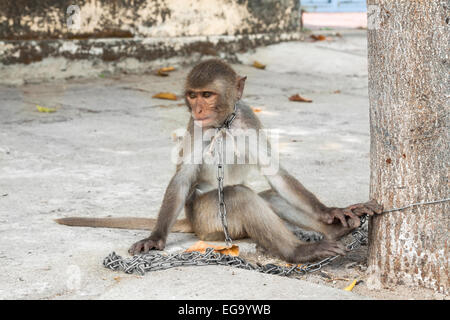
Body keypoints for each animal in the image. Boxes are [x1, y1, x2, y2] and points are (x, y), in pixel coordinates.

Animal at [54, 59, 382, 262]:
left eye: (207, 95)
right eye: (192, 95)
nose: (198, 109)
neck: (224, 124)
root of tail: (192, 222)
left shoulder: (248, 118)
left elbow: (274, 173)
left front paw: (330, 212)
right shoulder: (195, 128)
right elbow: (184, 176)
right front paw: (156, 237)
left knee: (268, 197)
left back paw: (336, 230)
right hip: (208, 220)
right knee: (239, 197)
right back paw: (298, 252)